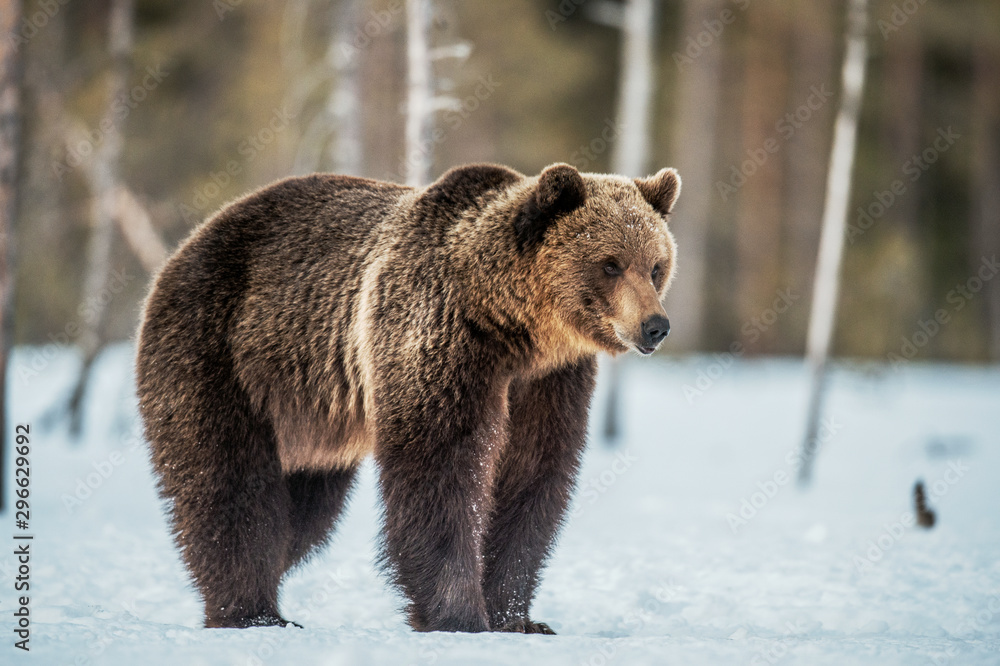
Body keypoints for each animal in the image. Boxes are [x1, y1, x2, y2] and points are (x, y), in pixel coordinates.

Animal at [135, 161, 680, 633]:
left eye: (656, 266)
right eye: (610, 264)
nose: (655, 326)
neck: (509, 325)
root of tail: (188, 243)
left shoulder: (547, 380)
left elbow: (531, 477)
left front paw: (519, 620)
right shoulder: (437, 336)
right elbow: (439, 469)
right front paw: (458, 615)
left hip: (311, 423)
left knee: (303, 513)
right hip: (221, 349)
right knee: (229, 482)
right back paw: (251, 611)